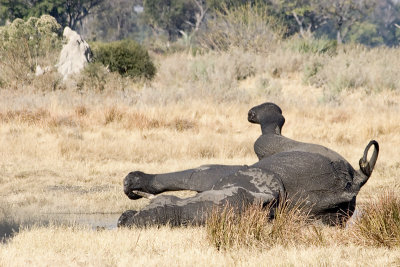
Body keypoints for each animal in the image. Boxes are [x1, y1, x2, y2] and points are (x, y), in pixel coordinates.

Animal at [118, 102, 378, 228]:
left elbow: (201, 175)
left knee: (261, 141)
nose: (123, 220)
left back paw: (262, 112)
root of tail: (356, 180)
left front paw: (133, 189)